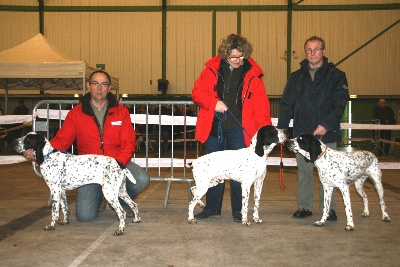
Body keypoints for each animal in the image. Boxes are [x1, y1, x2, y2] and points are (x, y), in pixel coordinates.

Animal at [12, 132, 141, 237]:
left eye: (28, 139)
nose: (13, 142)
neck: (48, 156)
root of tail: (119, 163)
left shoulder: (54, 190)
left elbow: (54, 212)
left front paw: (52, 226)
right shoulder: (61, 191)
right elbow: (65, 208)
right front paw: (65, 221)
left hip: (109, 192)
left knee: (122, 212)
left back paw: (120, 230)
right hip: (120, 191)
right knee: (133, 204)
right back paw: (136, 219)